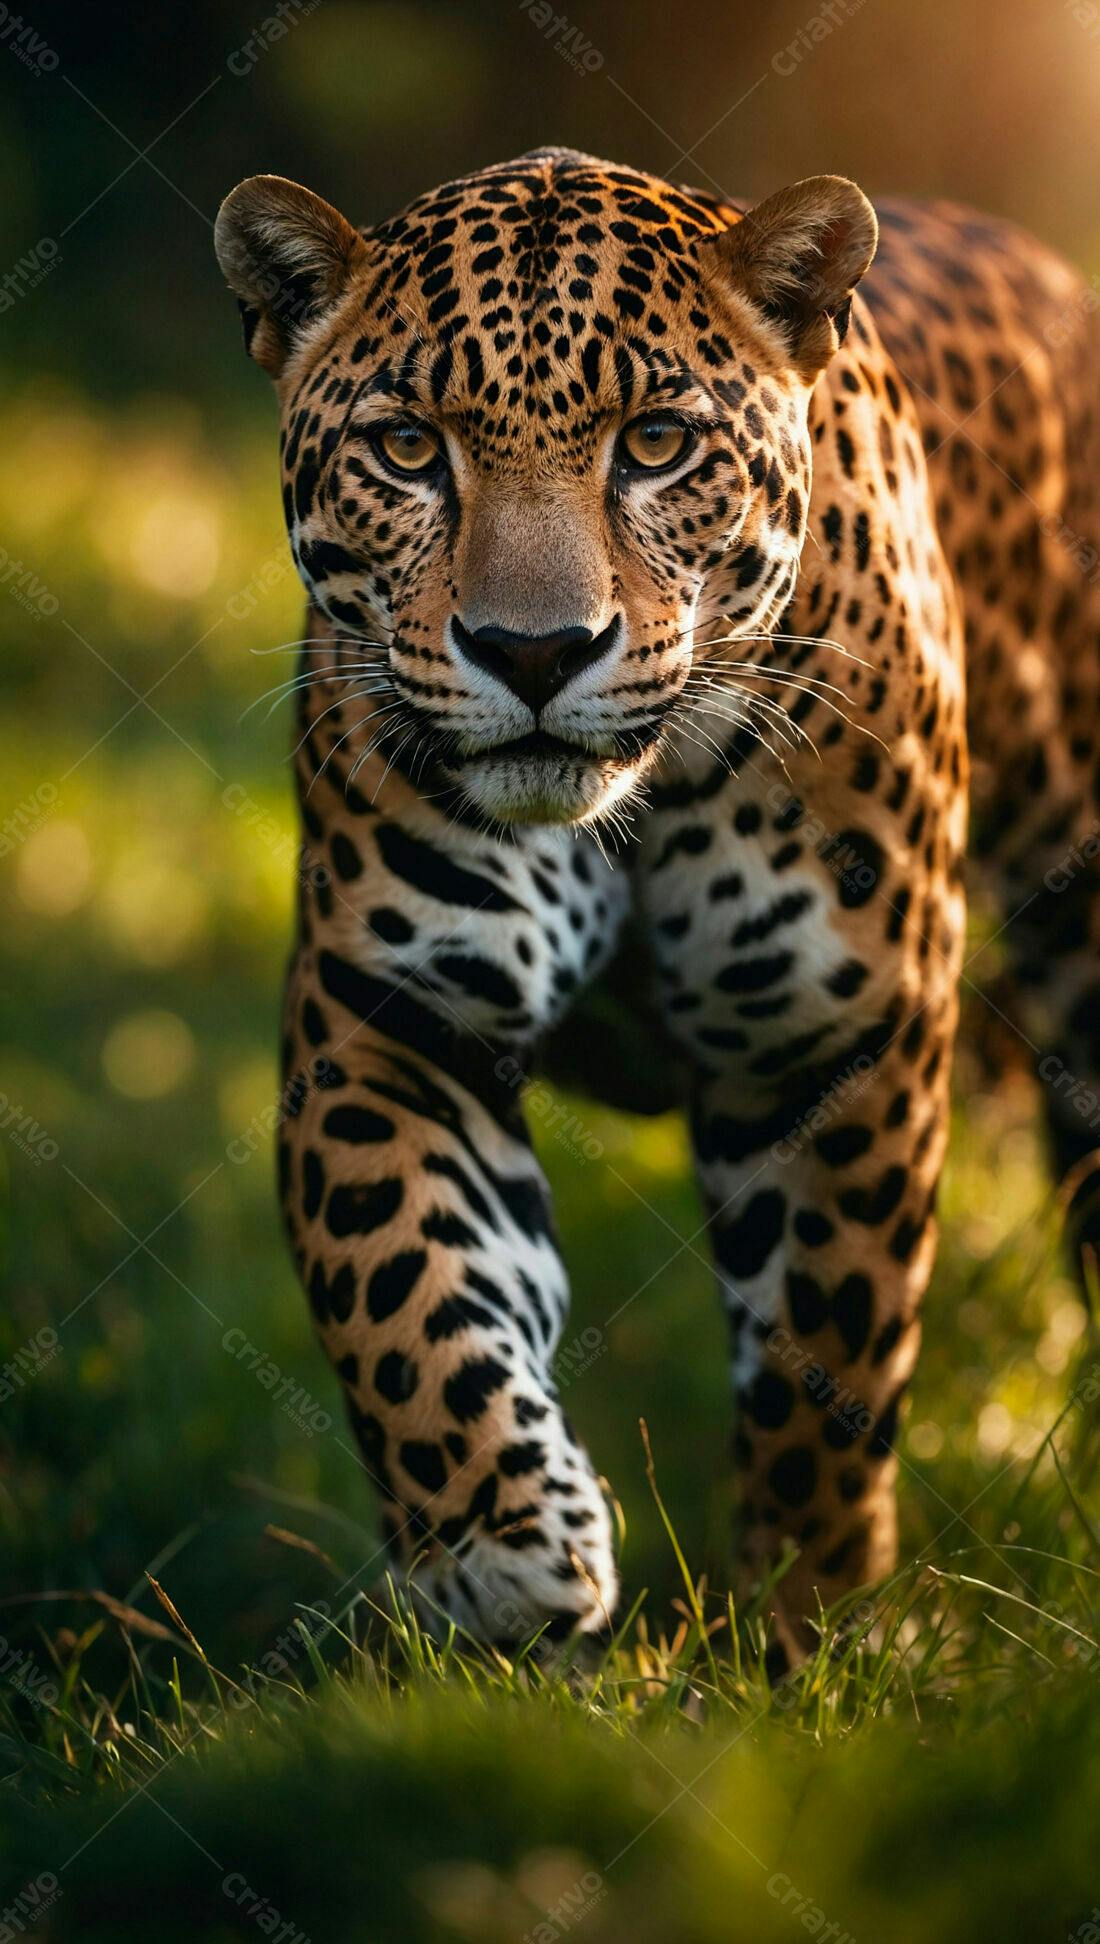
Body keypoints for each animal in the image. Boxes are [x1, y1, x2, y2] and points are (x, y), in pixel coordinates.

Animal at [214, 147, 1100, 1672]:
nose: (533, 652)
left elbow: (828, 1351)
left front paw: (807, 1628)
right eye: (409, 451)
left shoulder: (830, 1041)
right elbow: (404, 1289)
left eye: (656, 444)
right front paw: (506, 1553)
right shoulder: (390, 1016)